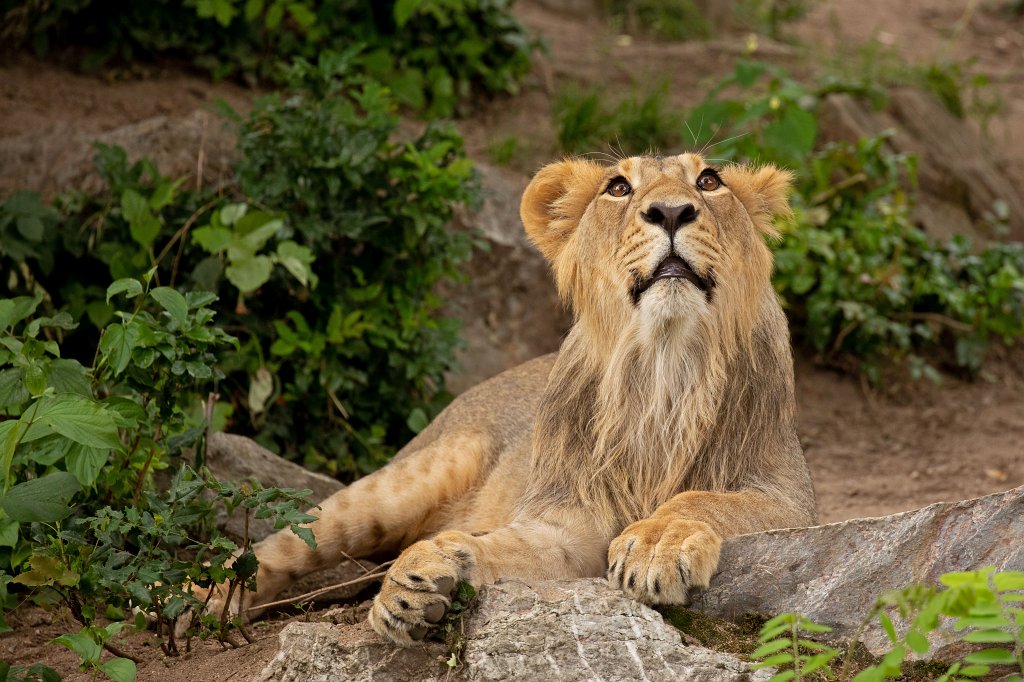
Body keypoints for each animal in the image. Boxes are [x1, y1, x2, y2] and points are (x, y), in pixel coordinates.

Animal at [212, 152, 817, 645]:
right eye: (619, 187)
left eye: (709, 180)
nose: (670, 211)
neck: (663, 371)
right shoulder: (567, 518)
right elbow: (511, 544)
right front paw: (414, 584)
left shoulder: (790, 502)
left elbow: (705, 499)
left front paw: (656, 542)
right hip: (400, 483)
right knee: (278, 545)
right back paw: (210, 605)